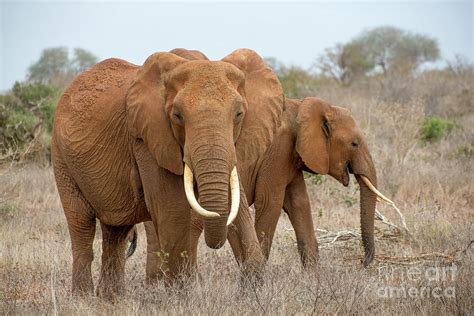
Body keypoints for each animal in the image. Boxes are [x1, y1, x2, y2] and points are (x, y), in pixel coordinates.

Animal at [50, 47, 284, 298]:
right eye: (177, 116)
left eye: (239, 114)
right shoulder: (147, 139)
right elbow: (171, 211)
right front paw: (183, 297)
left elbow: (235, 201)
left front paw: (253, 292)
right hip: (62, 159)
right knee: (82, 225)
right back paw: (83, 298)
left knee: (116, 231)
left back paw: (111, 299)